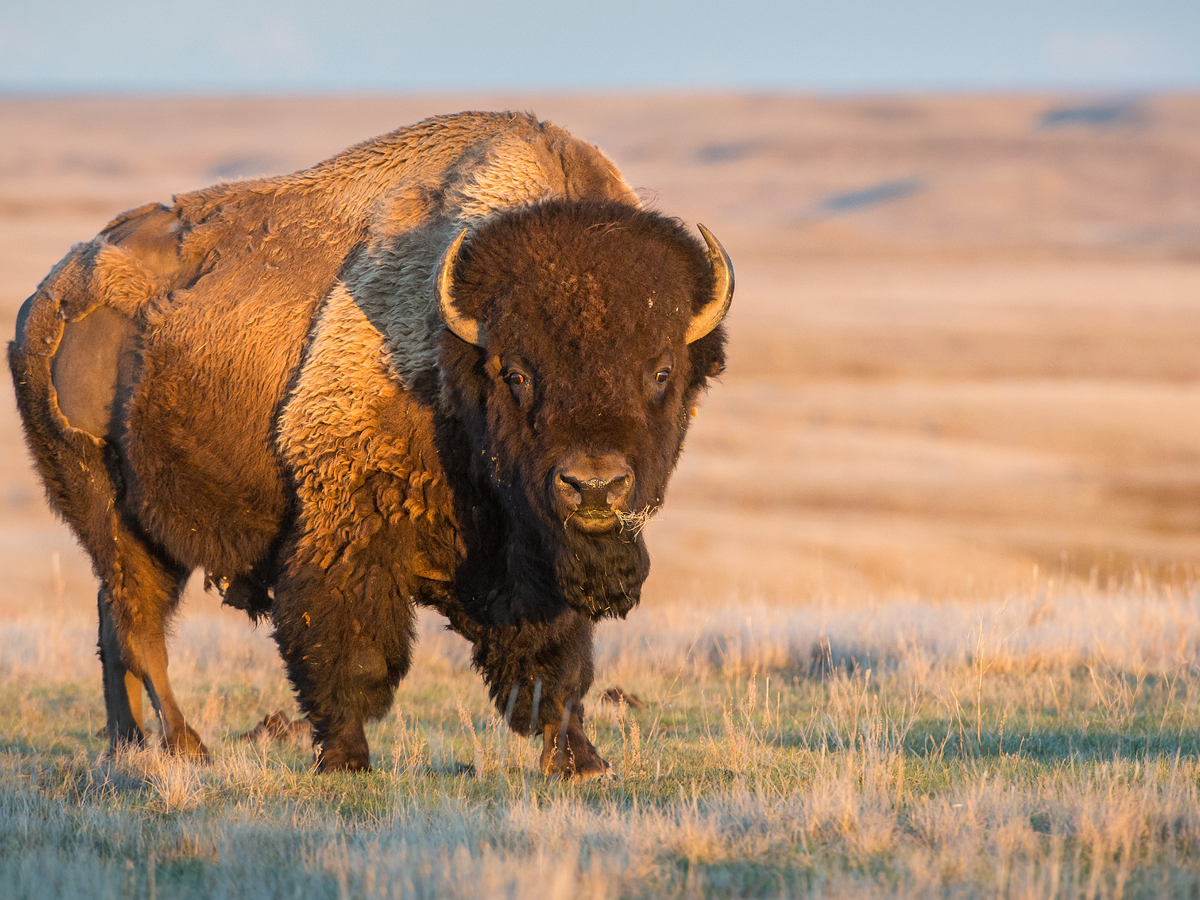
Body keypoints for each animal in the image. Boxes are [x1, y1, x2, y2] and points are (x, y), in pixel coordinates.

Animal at [9, 111, 732, 776]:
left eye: (662, 371)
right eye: (516, 372)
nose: (594, 486)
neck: (453, 355)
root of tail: (47, 297)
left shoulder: (536, 563)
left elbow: (556, 664)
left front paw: (581, 761)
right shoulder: (348, 525)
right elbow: (348, 648)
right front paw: (344, 760)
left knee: (115, 628)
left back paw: (128, 746)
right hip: (108, 514)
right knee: (138, 628)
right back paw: (188, 748)